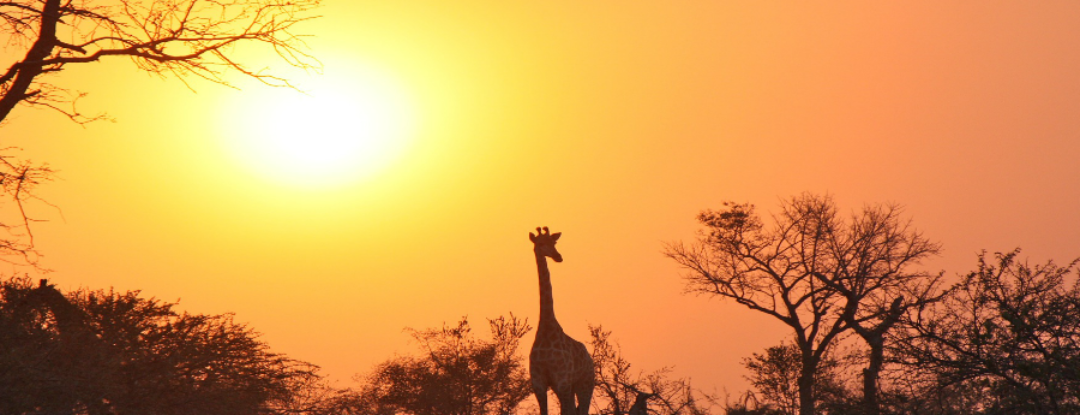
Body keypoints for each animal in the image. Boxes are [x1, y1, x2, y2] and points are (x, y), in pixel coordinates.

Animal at [527, 226, 596, 415]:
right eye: (541, 243)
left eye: (554, 242)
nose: (558, 257)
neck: (546, 327)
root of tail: (590, 359)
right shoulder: (539, 383)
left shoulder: (562, 380)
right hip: (570, 388)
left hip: (585, 384)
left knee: (581, 409)